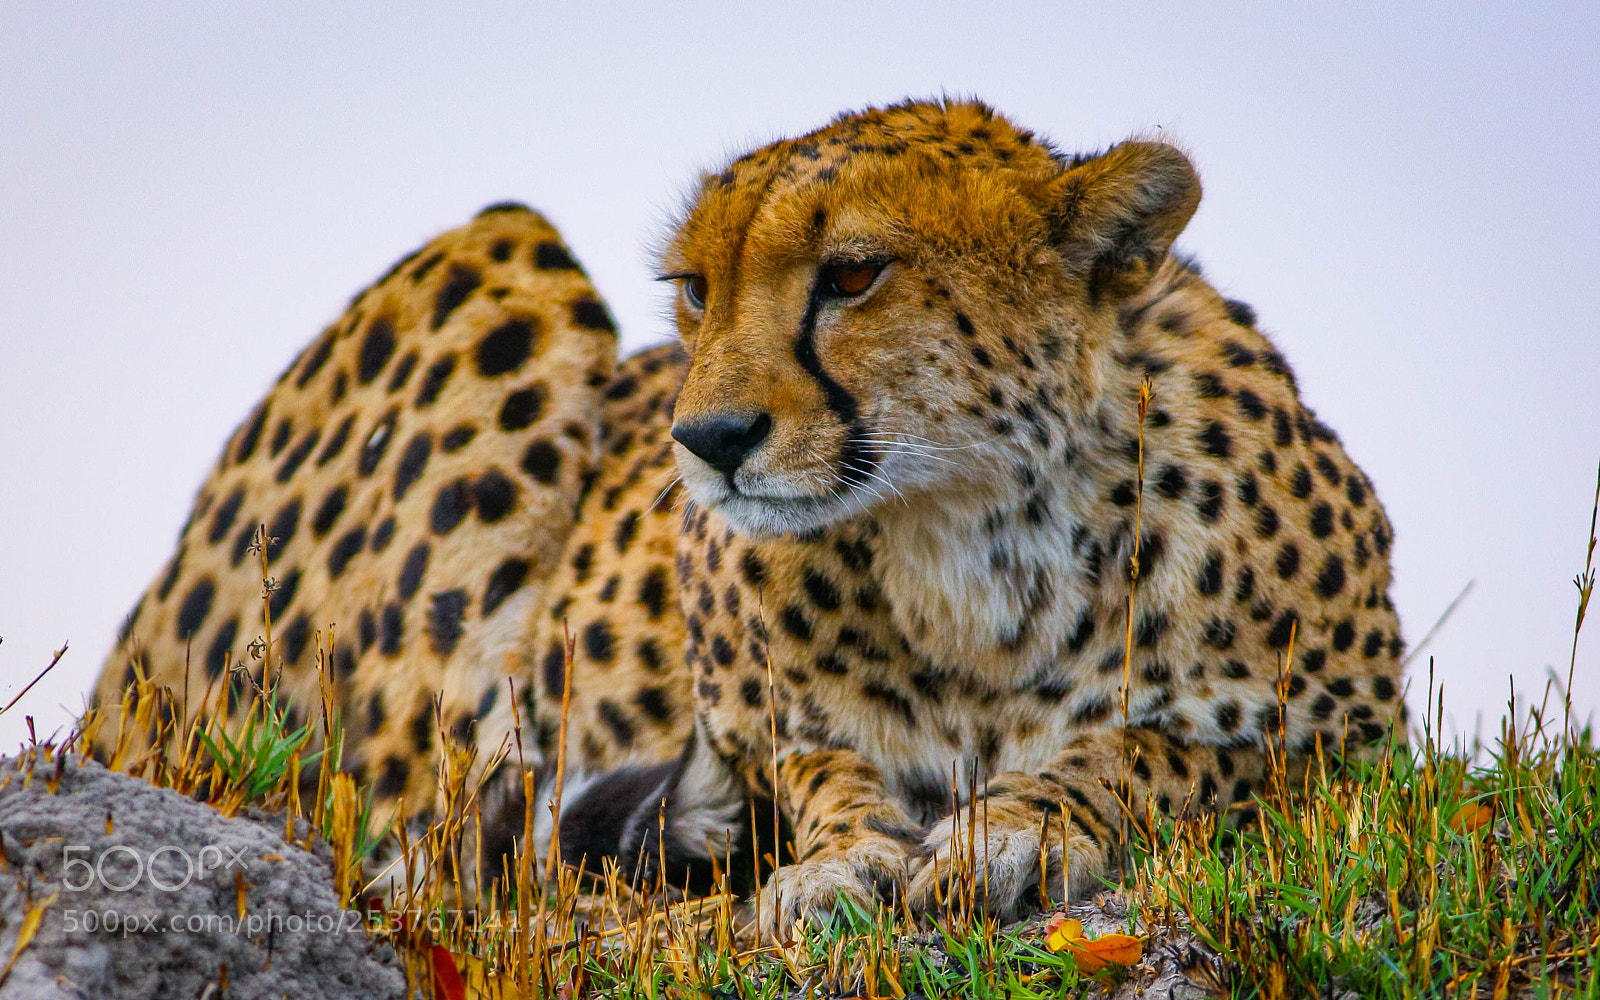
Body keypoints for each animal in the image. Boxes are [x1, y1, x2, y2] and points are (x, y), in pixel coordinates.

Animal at [93, 98, 1406, 935]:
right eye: (694, 290)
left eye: (854, 274)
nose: (708, 440)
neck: (969, 531)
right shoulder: (744, 732)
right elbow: (823, 770)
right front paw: (842, 859)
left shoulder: (1360, 750)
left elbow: (1158, 752)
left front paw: (1013, 828)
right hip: (499, 253)